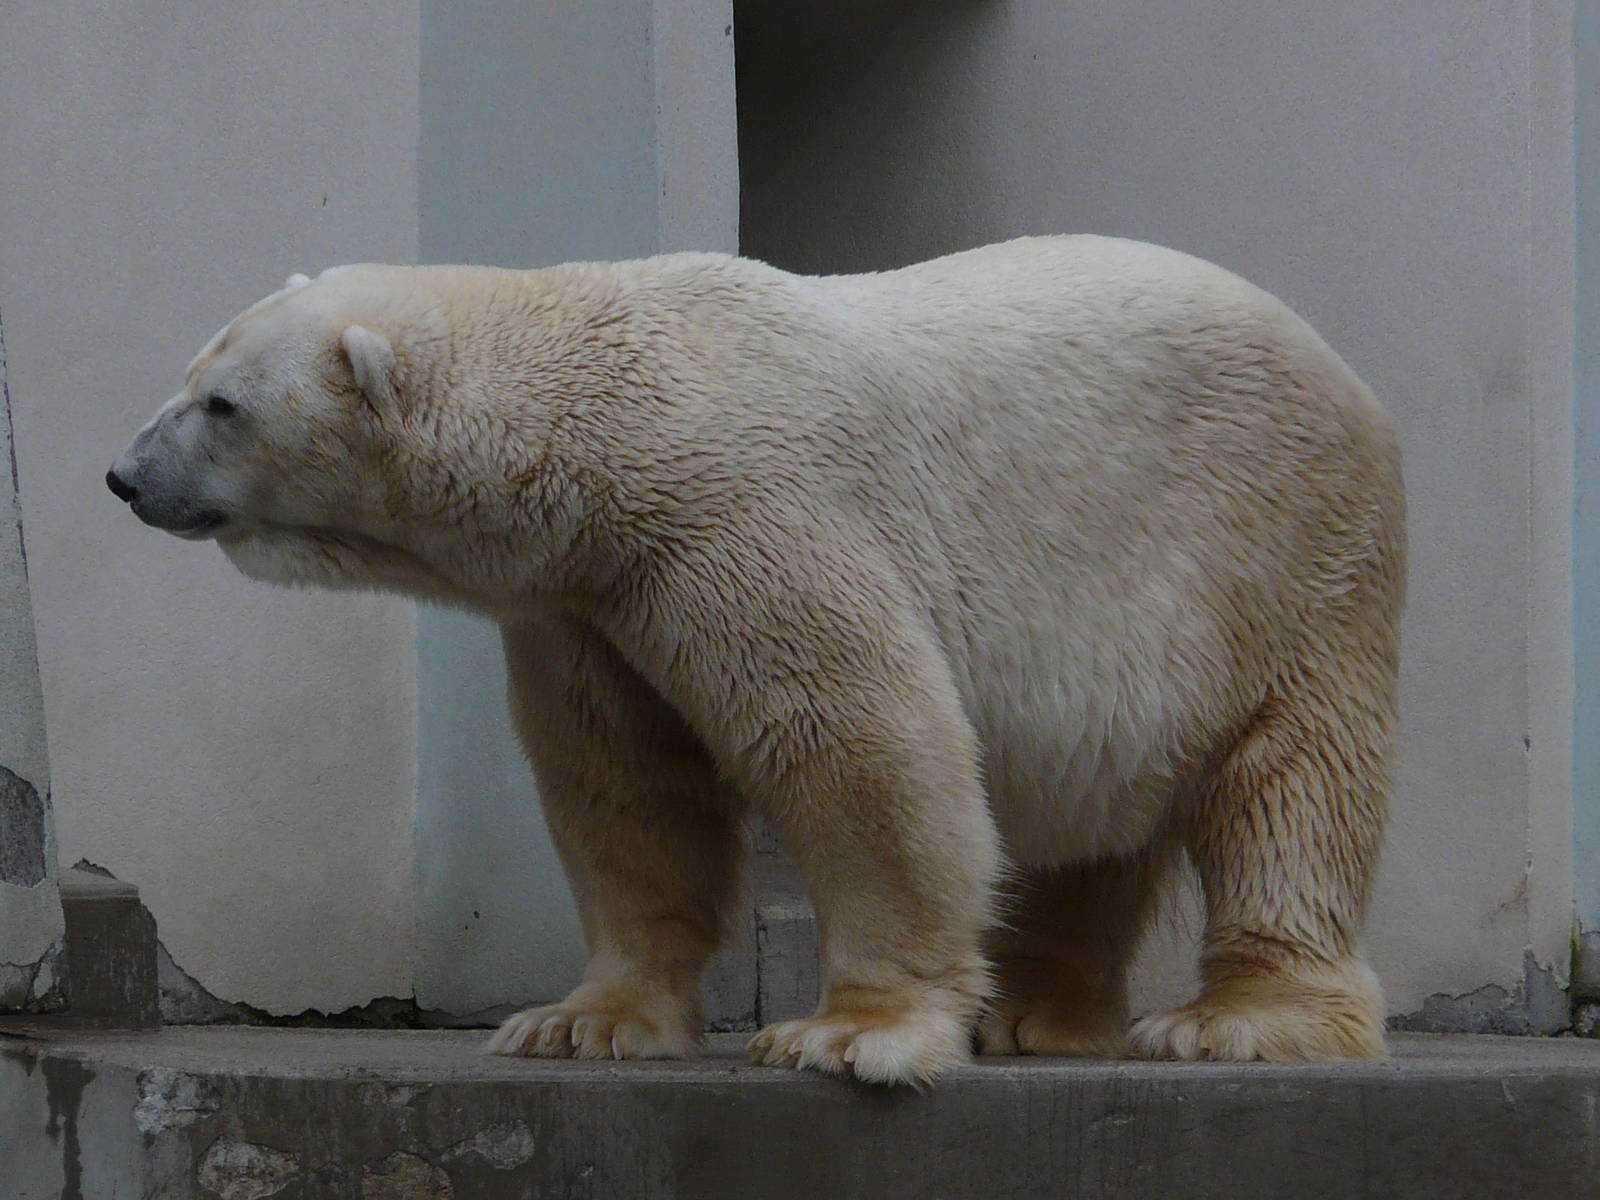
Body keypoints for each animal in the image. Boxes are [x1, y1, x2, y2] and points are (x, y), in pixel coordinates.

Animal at [108, 236, 1404, 1085]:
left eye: (222, 405)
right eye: (191, 375)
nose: (123, 476)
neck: (605, 411)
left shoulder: (738, 516)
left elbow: (855, 739)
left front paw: (851, 1035)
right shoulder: (588, 603)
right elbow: (623, 789)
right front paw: (582, 1022)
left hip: (1282, 557)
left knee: (1289, 782)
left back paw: (1242, 1021)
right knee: (1087, 822)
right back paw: (1035, 1013)